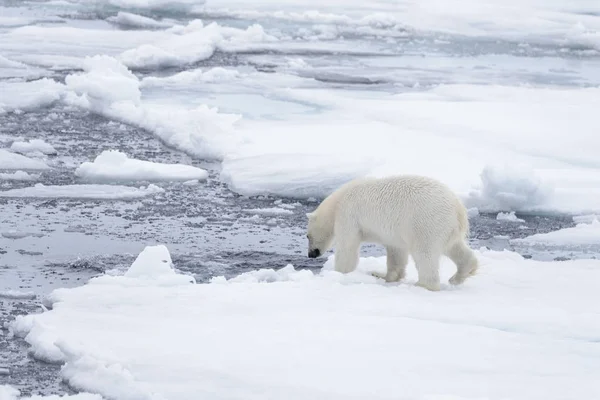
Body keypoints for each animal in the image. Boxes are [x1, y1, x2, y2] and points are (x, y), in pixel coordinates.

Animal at [308, 175, 476, 290]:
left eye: (307, 236)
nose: (311, 254)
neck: (337, 202)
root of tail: (458, 208)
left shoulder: (349, 215)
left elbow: (347, 247)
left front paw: (339, 273)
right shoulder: (395, 233)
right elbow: (396, 252)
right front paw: (382, 275)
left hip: (426, 222)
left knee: (425, 253)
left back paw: (422, 284)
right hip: (447, 227)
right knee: (455, 248)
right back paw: (460, 275)